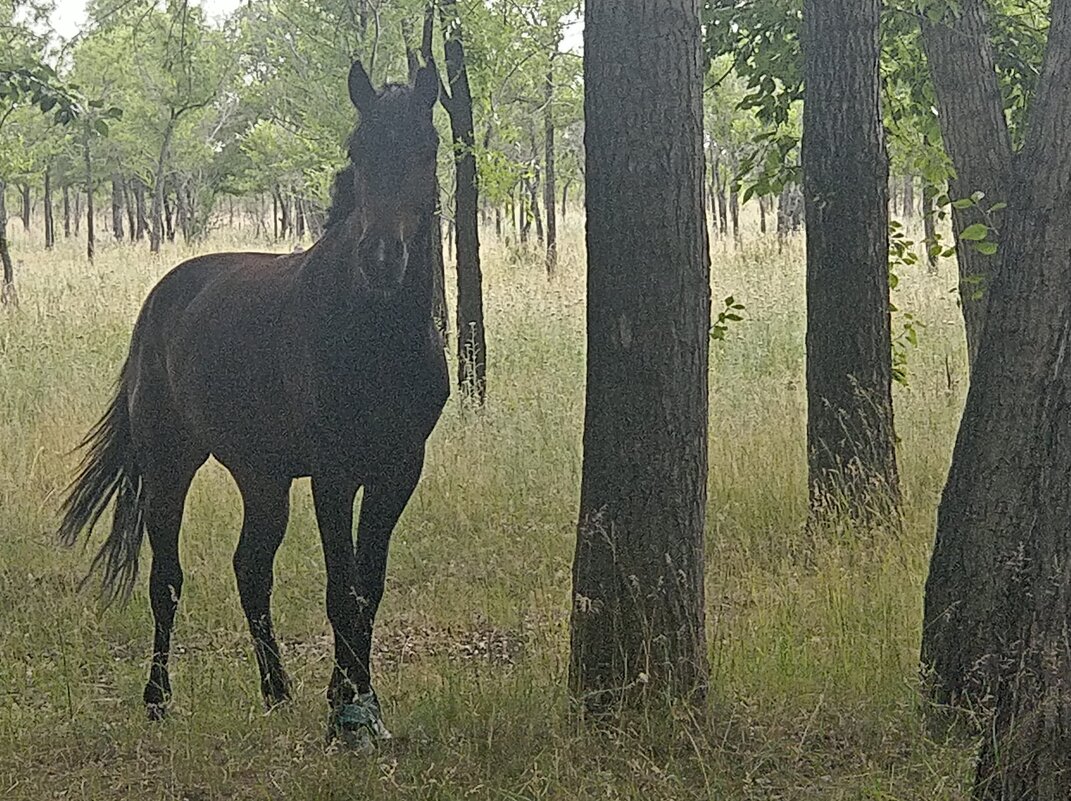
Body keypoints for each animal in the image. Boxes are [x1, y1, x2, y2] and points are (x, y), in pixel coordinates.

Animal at [56, 61, 447, 745]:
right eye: (357, 150)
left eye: (426, 151)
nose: (381, 259)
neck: (375, 340)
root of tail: (161, 299)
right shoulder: (334, 475)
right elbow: (341, 589)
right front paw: (345, 717)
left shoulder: (398, 470)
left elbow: (367, 588)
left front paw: (360, 702)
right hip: (170, 464)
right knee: (167, 580)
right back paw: (157, 697)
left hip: (261, 477)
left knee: (250, 570)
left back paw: (277, 690)